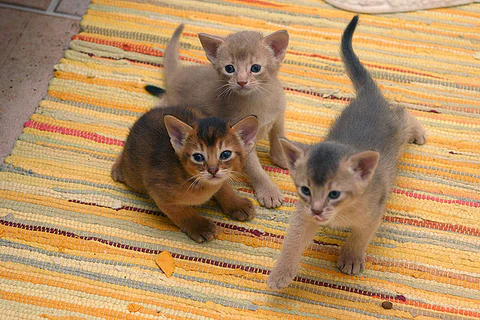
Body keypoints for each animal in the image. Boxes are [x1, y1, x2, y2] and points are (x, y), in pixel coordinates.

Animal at [111, 105, 258, 242]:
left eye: (225, 154)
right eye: (198, 157)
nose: (213, 170)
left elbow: (224, 186)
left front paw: (237, 204)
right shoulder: (159, 192)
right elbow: (182, 213)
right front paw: (201, 227)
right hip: (132, 175)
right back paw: (118, 169)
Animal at [150, 25, 288, 210]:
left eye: (255, 68)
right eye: (229, 68)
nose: (242, 81)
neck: (260, 99)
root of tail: (179, 74)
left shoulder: (278, 116)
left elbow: (279, 137)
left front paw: (285, 158)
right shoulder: (241, 139)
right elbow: (255, 169)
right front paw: (268, 191)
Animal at [268, 15, 426, 290]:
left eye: (334, 194)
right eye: (306, 190)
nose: (317, 210)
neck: (341, 213)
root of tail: (369, 96)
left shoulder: (374, 212)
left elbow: (360, 236)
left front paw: (351, 257)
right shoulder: (303, 214)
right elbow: (292, 241)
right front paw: (281, 272)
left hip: (398, 127)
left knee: (403, 111)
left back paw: (418, 132)